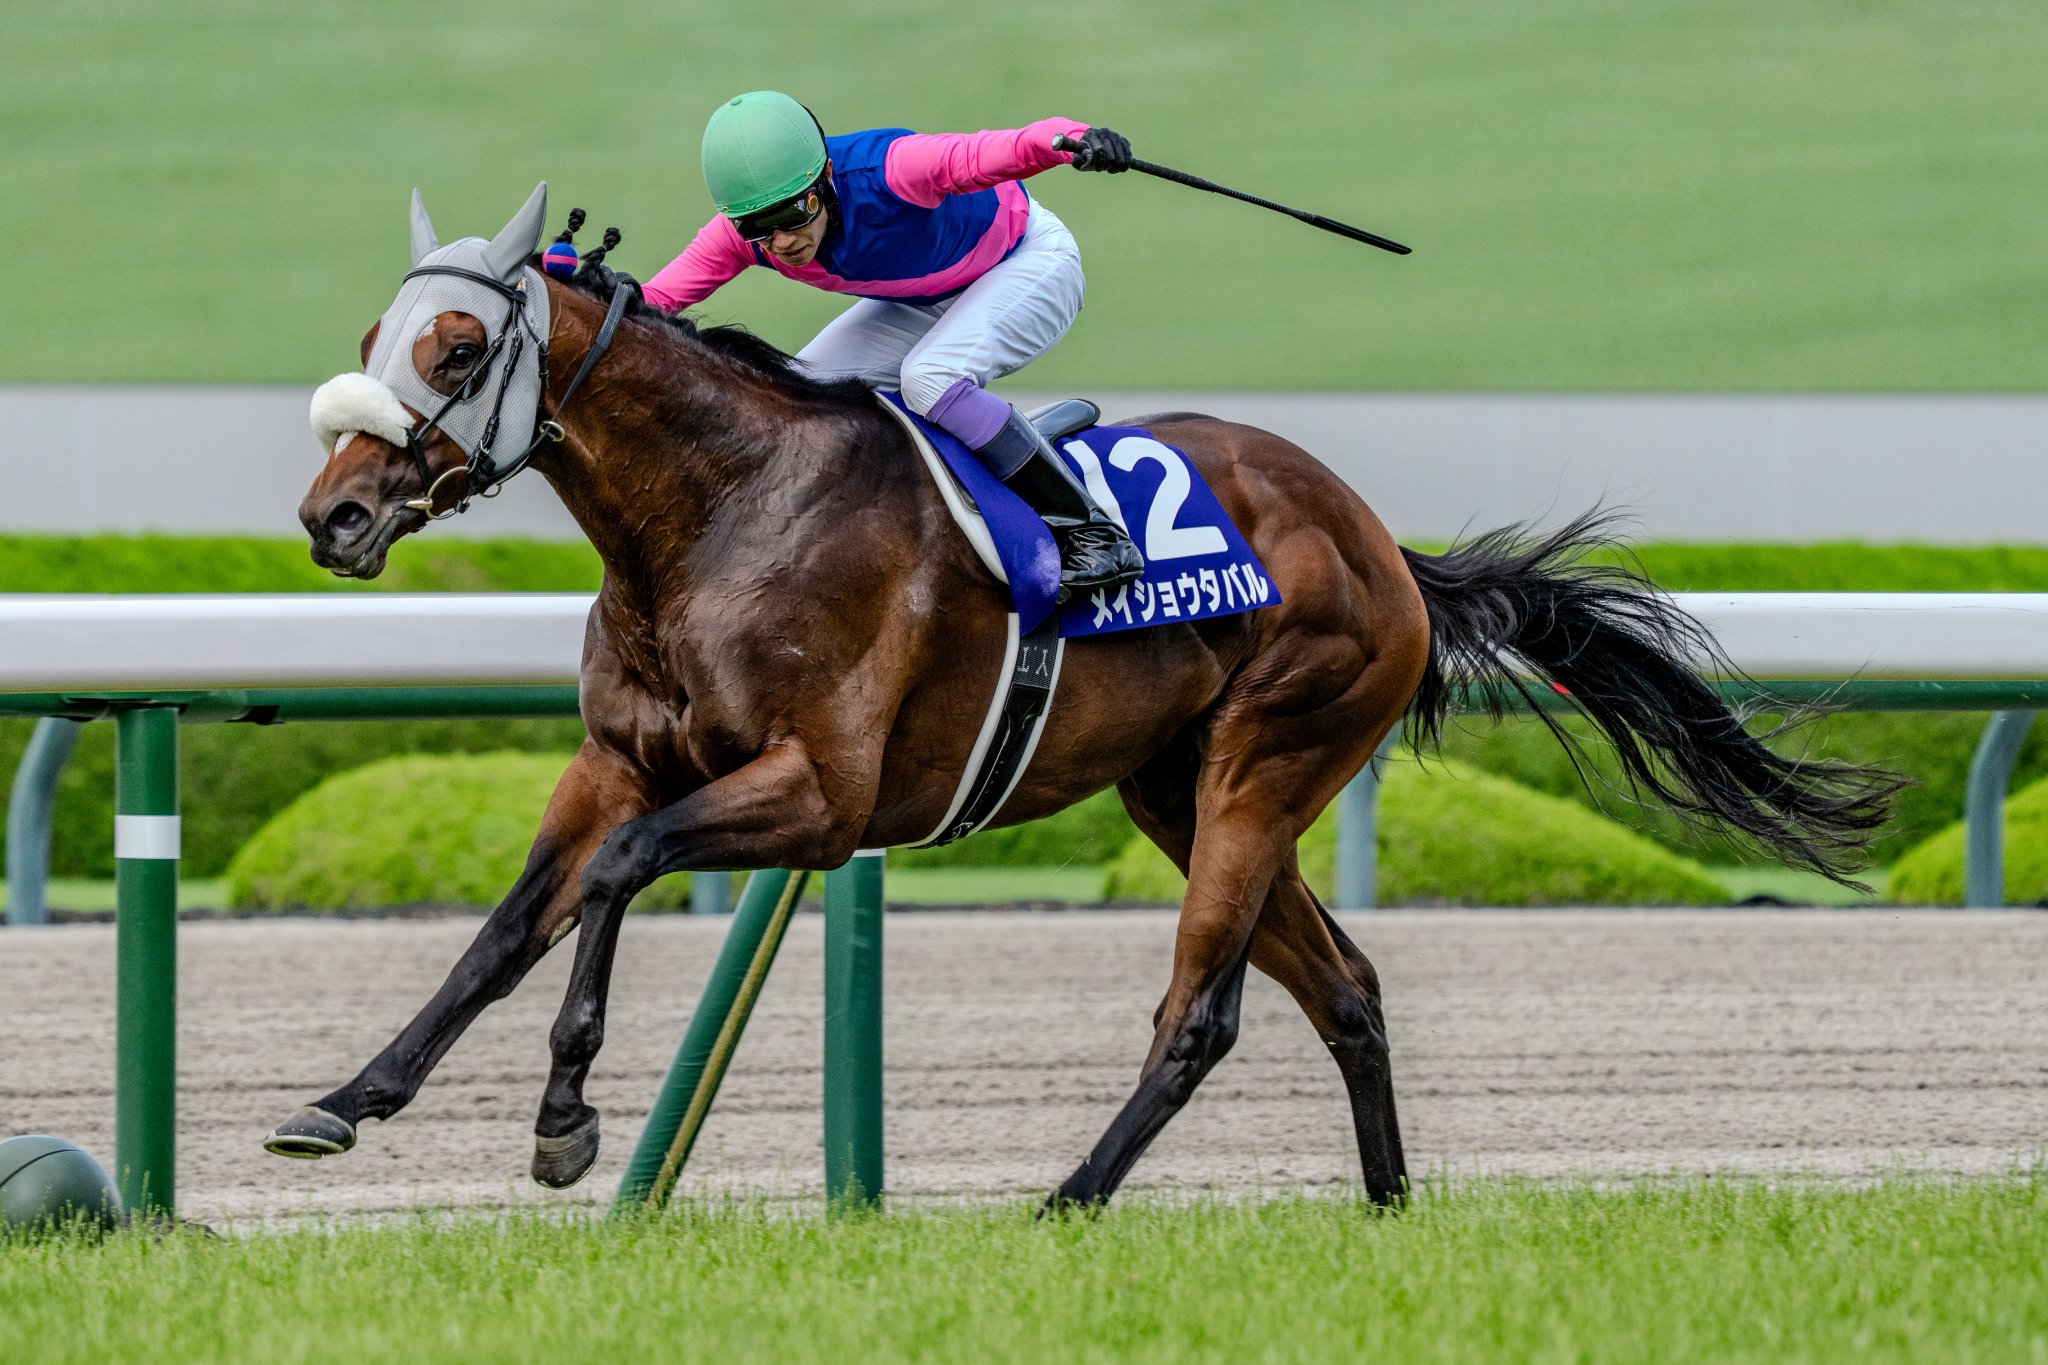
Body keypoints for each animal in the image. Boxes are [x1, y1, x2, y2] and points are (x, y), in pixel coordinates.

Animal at [267, 188, 1897, 1206]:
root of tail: (1383, 546)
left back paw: (1069, 1195)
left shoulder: (821, 797)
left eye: (457, 345)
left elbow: (613, 876)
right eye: (364, 345)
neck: (719, 514)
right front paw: (345, 1101)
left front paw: (563, 1122)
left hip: (1265, 764)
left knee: (1200, 1015)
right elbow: (505, 927)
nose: (331, 518)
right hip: (1180, 790)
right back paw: (1387, 1209)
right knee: (1348, 991)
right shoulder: (616, 758)